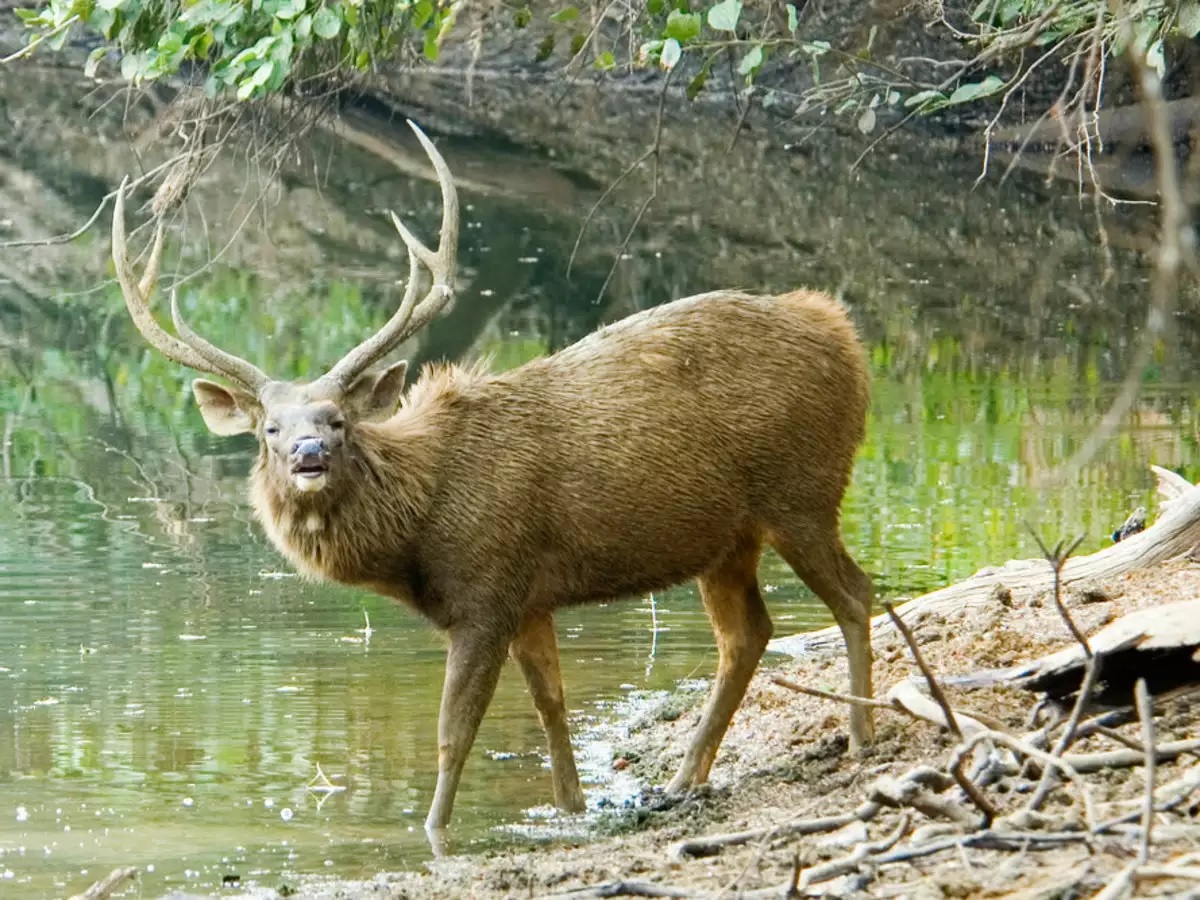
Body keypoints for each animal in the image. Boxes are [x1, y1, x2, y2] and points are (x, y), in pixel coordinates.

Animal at [112, 118, 878, 840]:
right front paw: (573, 807)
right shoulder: (530, 598)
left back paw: (862, 736)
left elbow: (454, 733)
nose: (307, 454)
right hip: (727, 539)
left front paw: (434, 830)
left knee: (854, 594)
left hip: (804, 490)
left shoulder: (486, 592)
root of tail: (844, 333)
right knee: (748, 633)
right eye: (269, 428)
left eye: (337, 420)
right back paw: (686, 776)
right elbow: (552, 707)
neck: (417, 534)